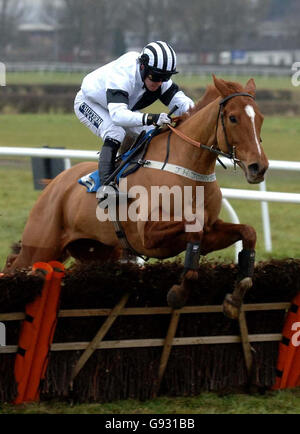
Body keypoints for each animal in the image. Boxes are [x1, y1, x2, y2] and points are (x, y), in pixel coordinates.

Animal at [4, 75, 268, 318]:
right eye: (233, 118)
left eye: (260, 118)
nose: (259, 167)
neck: (187, 168)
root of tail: (54, 184)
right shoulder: (148, 235)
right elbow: (195, 228)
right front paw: (179, 292)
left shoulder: (212, 230)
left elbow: (248, 233)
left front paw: (235, 298)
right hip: (40, 247)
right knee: (14, 264)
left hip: (96, 251)